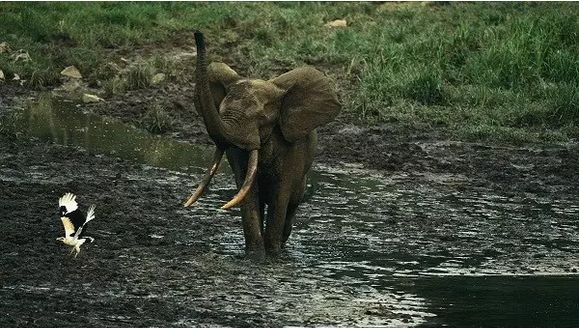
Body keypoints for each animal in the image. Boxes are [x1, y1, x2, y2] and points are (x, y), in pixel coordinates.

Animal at [184, 30, 342, 255]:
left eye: (261, 118)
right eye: (221, 111)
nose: (198, 33)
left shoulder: (292, 149)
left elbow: (280, 196)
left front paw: (273, 255)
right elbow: (248, 193)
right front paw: (255, 255)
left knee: (292, 205)